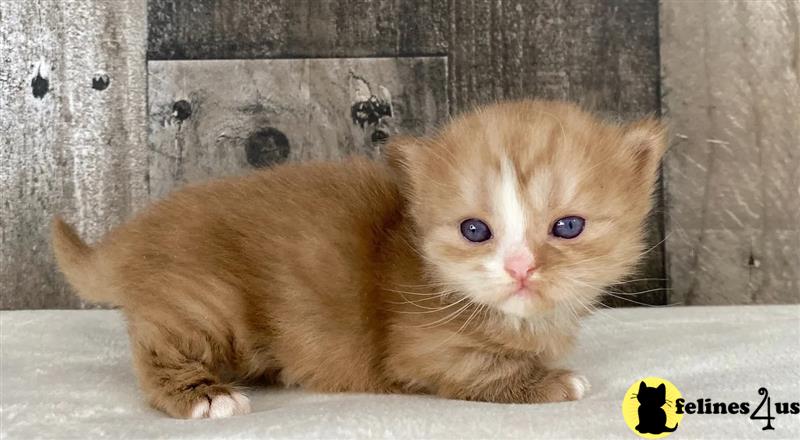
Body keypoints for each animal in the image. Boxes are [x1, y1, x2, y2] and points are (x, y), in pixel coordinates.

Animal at [51, 100, 668, 420]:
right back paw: (205, 395)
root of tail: (134, 233)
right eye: (475, 231)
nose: (520, 268)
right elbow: (477, 368)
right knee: (158, 349)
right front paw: (551, 382)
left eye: (568, 227)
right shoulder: (419, 345)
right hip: (206, 301)